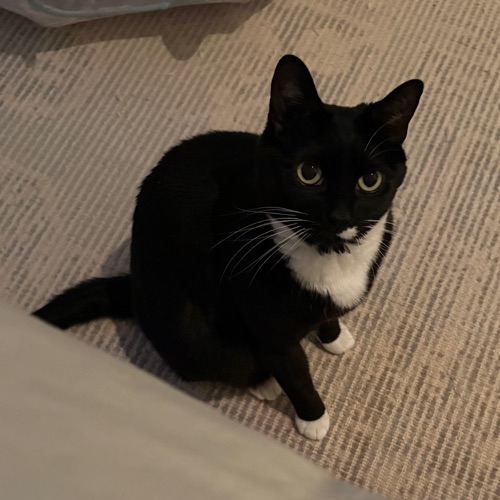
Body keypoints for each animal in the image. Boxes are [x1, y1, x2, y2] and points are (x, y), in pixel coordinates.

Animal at [33, 55, 423, 440]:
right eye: (308, 173)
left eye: (370, 180)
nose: (339, 217)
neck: (328, 256)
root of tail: (134, 287)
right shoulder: (270, 330)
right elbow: (296, 375)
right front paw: (313, 419)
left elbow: (328, 315)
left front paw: (333, 337)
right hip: (193, 334)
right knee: (225, 361)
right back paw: (263, 382)